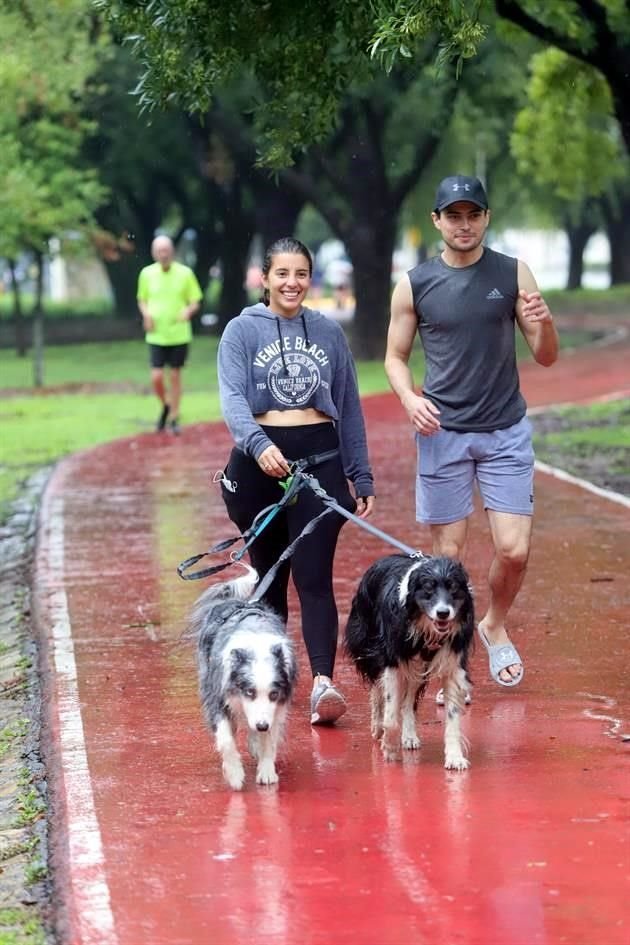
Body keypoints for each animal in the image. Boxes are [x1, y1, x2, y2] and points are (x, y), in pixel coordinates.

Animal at [188, 564, 298, 792]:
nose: (262, 725)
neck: (257, 647)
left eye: (274, 694)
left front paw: (266, 771)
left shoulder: (277, 707)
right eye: (249, 691)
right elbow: (226, 739)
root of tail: (233, 601)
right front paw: (234, 775)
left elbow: (269, 738)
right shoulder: (216, 694)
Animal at [346, 552, 474, 768]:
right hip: (369, 644)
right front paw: (389, 747)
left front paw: (455, 757)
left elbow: (452, 716)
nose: (443, 613)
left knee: (408, 700)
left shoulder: (453, 665)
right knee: (377, 689)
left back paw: (409, 736)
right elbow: (390, 715)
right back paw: (377, 725)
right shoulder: (393, 661)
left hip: (418, 666)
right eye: (428, 588)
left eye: (454, 587)